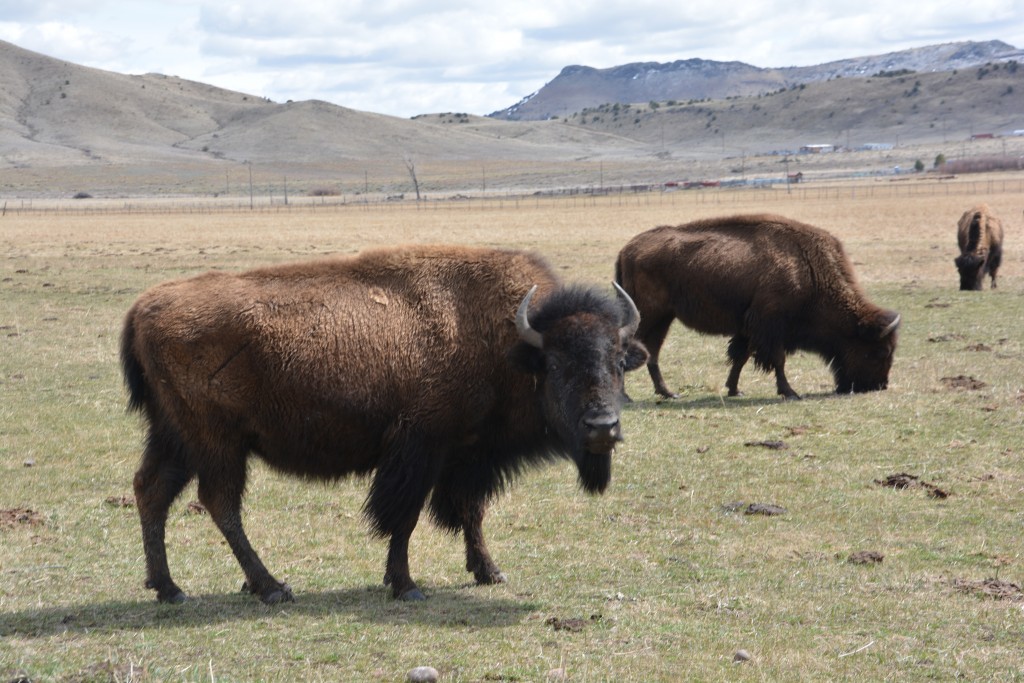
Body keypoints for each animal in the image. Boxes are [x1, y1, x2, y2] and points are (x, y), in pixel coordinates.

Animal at [119, 245, 647, 602]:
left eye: (620, 362)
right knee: (219, 502)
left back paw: (168, 588)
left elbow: (470, 511)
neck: (508, 343)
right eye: (555, 365)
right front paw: (406, 584)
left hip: (175, 436)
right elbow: (404, 517)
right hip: (218, 442)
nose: (603, 427)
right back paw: (270, 587)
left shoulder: (466, 455)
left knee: (151, 490)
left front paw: (489, 571)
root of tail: (141, 308)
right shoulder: (420, 449)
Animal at [614, 215, 897, 401]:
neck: (807, 269)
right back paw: (627, 396)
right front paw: (789, 392)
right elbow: (777, 359)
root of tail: (626, 249)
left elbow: (741, 356)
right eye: (879, 351)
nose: (879, 385)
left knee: (651, 352)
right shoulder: (770, 326)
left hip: (663, 317)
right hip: (649, 315)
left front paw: (734, 390)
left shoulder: (750, 328)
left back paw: (668, 393)